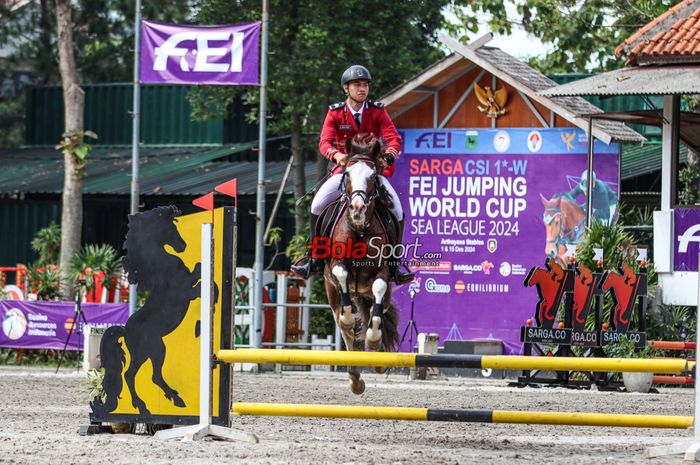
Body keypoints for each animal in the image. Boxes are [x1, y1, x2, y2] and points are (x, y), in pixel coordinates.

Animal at [324, 134, 400, 396]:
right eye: (346, 173)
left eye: (373, 176)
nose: (357, 209)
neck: (359, 229)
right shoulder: (336, 266)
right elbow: (342, 274)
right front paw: (349, 319)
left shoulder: (383, 271)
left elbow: (378, 292)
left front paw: (374, 340)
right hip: (332, 292)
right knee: (344, 327)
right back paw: (355, 378)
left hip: (375, 295)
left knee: (378, 311)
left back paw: (378, 360)